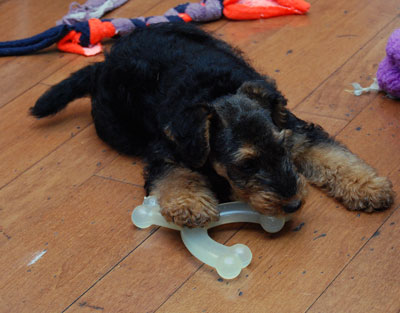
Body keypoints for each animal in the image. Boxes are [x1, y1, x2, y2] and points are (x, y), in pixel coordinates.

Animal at [30, 22, 394, 227]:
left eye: (281, 148)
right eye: (246, 164)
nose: (293, 204)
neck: (217, 92)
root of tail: (102, 65)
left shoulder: (297, 132)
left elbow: (334, 157)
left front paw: (369, 187)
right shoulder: (167, 150)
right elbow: (177, 176)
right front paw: (190, 205)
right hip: (117, 129)